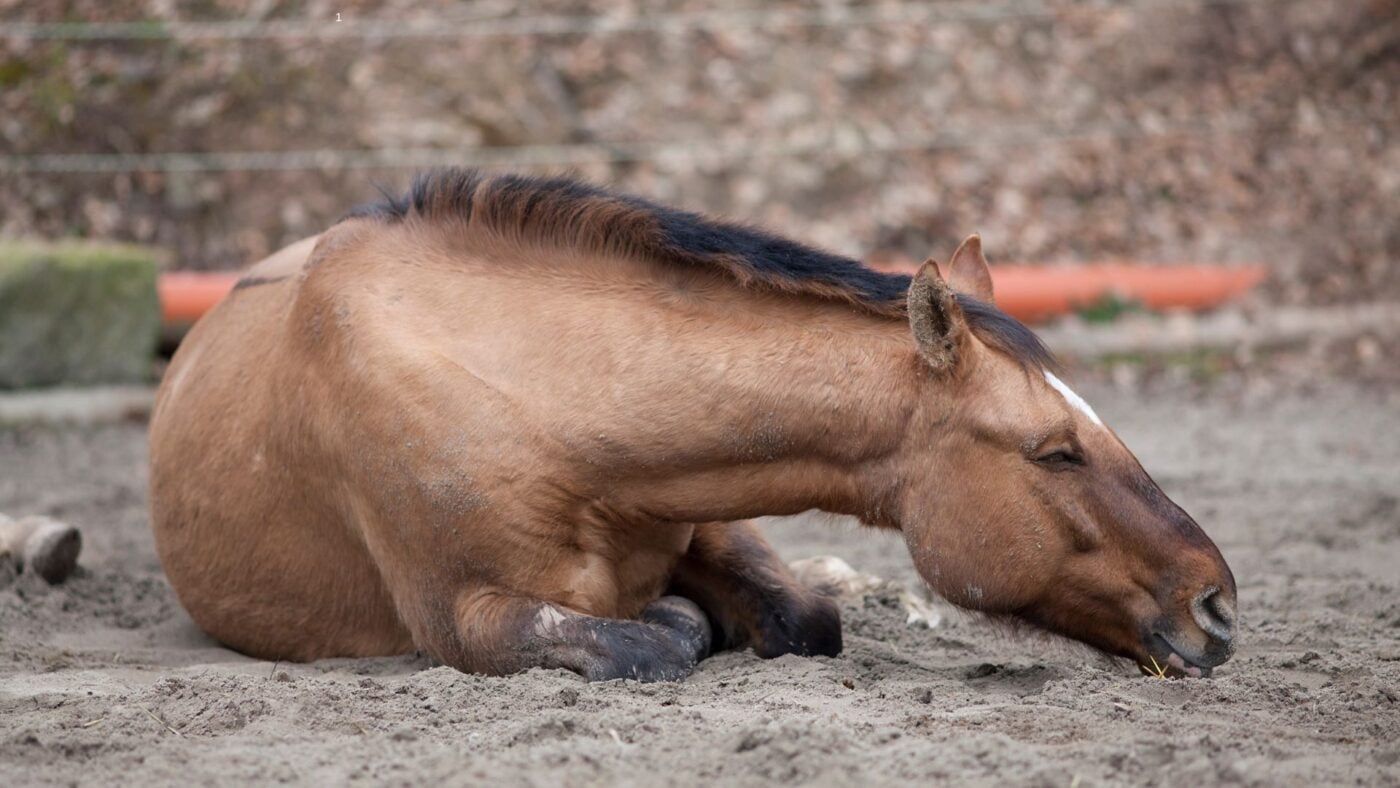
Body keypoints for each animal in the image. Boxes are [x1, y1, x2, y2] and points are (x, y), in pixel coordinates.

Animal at [148, 169, 1237, 681]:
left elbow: (804, 616)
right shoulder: (464, 617)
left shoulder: (709, 509)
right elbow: (652, 639)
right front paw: (682, 622)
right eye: (1054, 451)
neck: (539, 399)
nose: (1217, 604)